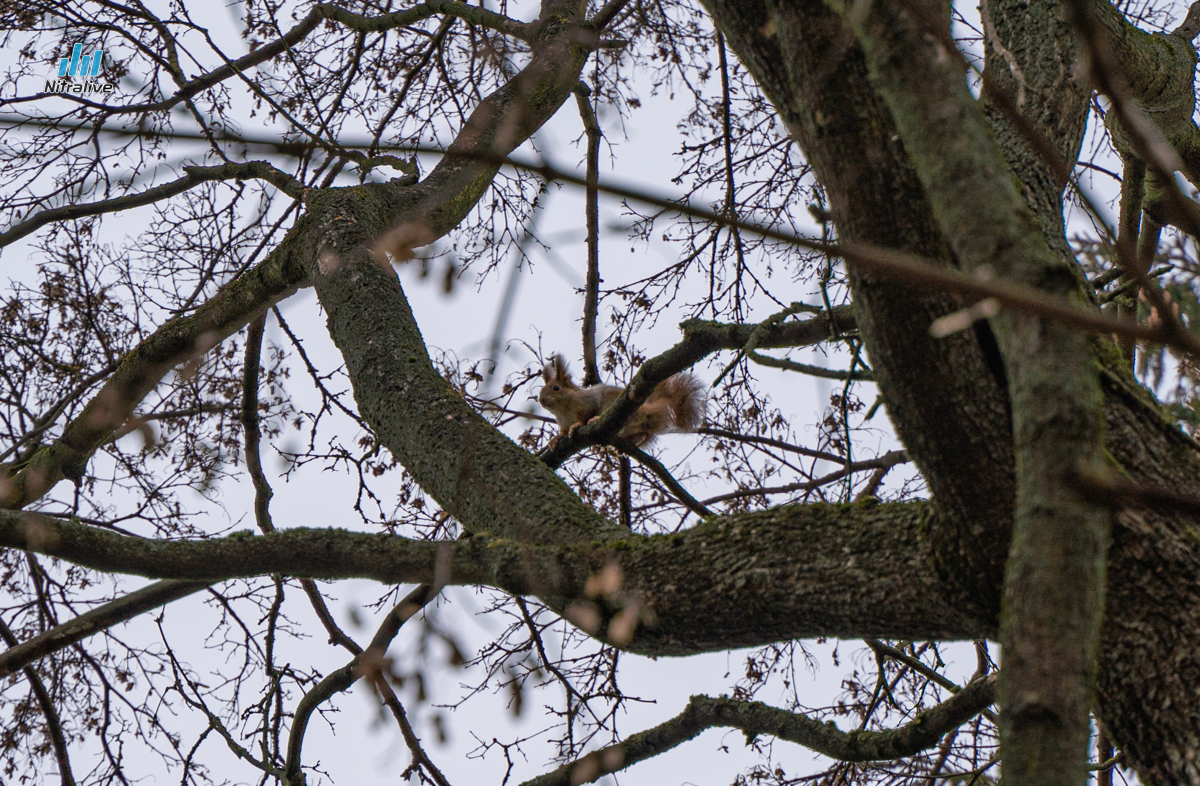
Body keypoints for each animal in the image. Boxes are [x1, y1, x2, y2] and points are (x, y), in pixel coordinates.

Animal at [537, 355, 700, 446]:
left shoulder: (587, 404)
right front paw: (555, 439)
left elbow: (584, 416)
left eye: (556, 388)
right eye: (542, 389)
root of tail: (649, 407)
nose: (541, 399)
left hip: (612, 402)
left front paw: (577, 425)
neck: (563, 411)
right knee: (645, 433)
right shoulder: (563, 422)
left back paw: (597, 419)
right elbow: (563, 432)